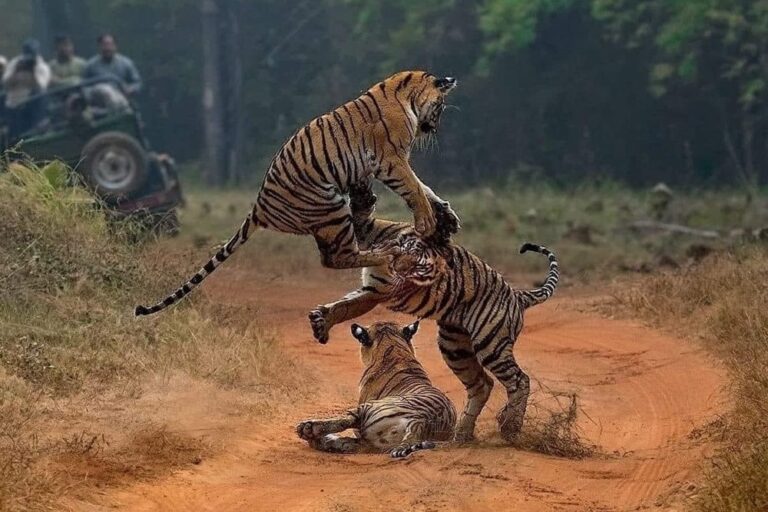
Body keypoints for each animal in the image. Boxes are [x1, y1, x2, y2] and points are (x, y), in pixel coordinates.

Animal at [134, 71, 459, 316]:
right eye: (441, 109)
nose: (434, 129)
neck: (407, 95)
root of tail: (259, 206)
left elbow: (424, 187)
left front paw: (446, 215)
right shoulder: (391, 161)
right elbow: (414, 187)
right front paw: (428, 221)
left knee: (339, 249)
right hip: (331, 206)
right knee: (337, 257)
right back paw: (386, 252)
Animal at [296, 320, 456, 458]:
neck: (395, 349)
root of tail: (420, 422)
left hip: (367, 409)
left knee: (345, 421)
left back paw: (307, 429)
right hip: (372, 443)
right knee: (345, 444)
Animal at [307, 185, 559, 443]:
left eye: (421, 265)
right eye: (406, 251)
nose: (399, 269)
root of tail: (518, 295)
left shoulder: (377, 292)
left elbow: (348, 306)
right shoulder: (373, 279)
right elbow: (344, 304)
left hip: (491, 345)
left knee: (519, 380)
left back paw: (510, 427)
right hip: (454, 347)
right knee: (482, 383)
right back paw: (464, 432)